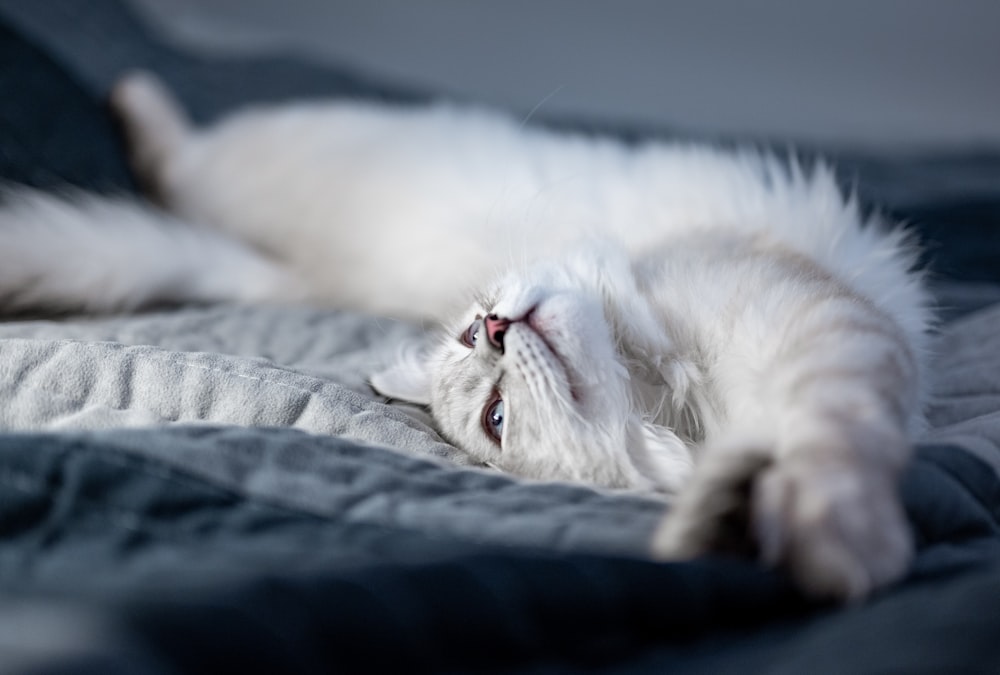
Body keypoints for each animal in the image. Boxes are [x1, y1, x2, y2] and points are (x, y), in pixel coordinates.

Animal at [0, 75, 928, 604]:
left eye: (470, 336)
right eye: (497, 416)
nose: (495, 326)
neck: (682, 399)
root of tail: (293, 271)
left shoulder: (809, 329)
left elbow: (828, 437)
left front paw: (816, 524)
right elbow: (812, 454)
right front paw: (790, 534)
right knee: (172, 157)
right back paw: (132, 92)